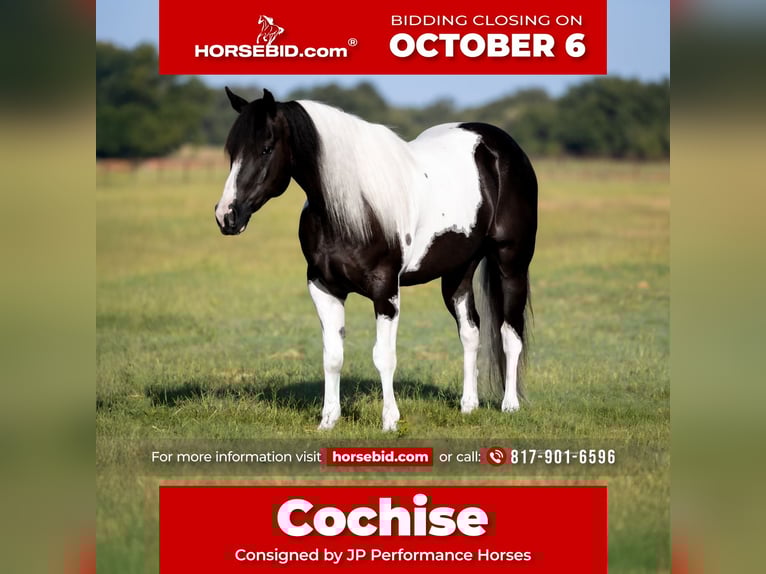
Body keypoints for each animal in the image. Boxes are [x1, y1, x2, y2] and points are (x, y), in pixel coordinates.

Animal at [215, 88, 538, 431]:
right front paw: (328, 420)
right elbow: (332, 356)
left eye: (265, 148)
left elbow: (384, 357)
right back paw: (468, 406)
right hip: (458, 272)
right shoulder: (323, 287)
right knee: (470, 332)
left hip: (511, 265)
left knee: (510, 333)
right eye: (232, 151)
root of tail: (500, 145)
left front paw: (390, 420)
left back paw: (510, 405)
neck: (351, 207)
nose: (226, 216)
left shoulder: (385, 291)